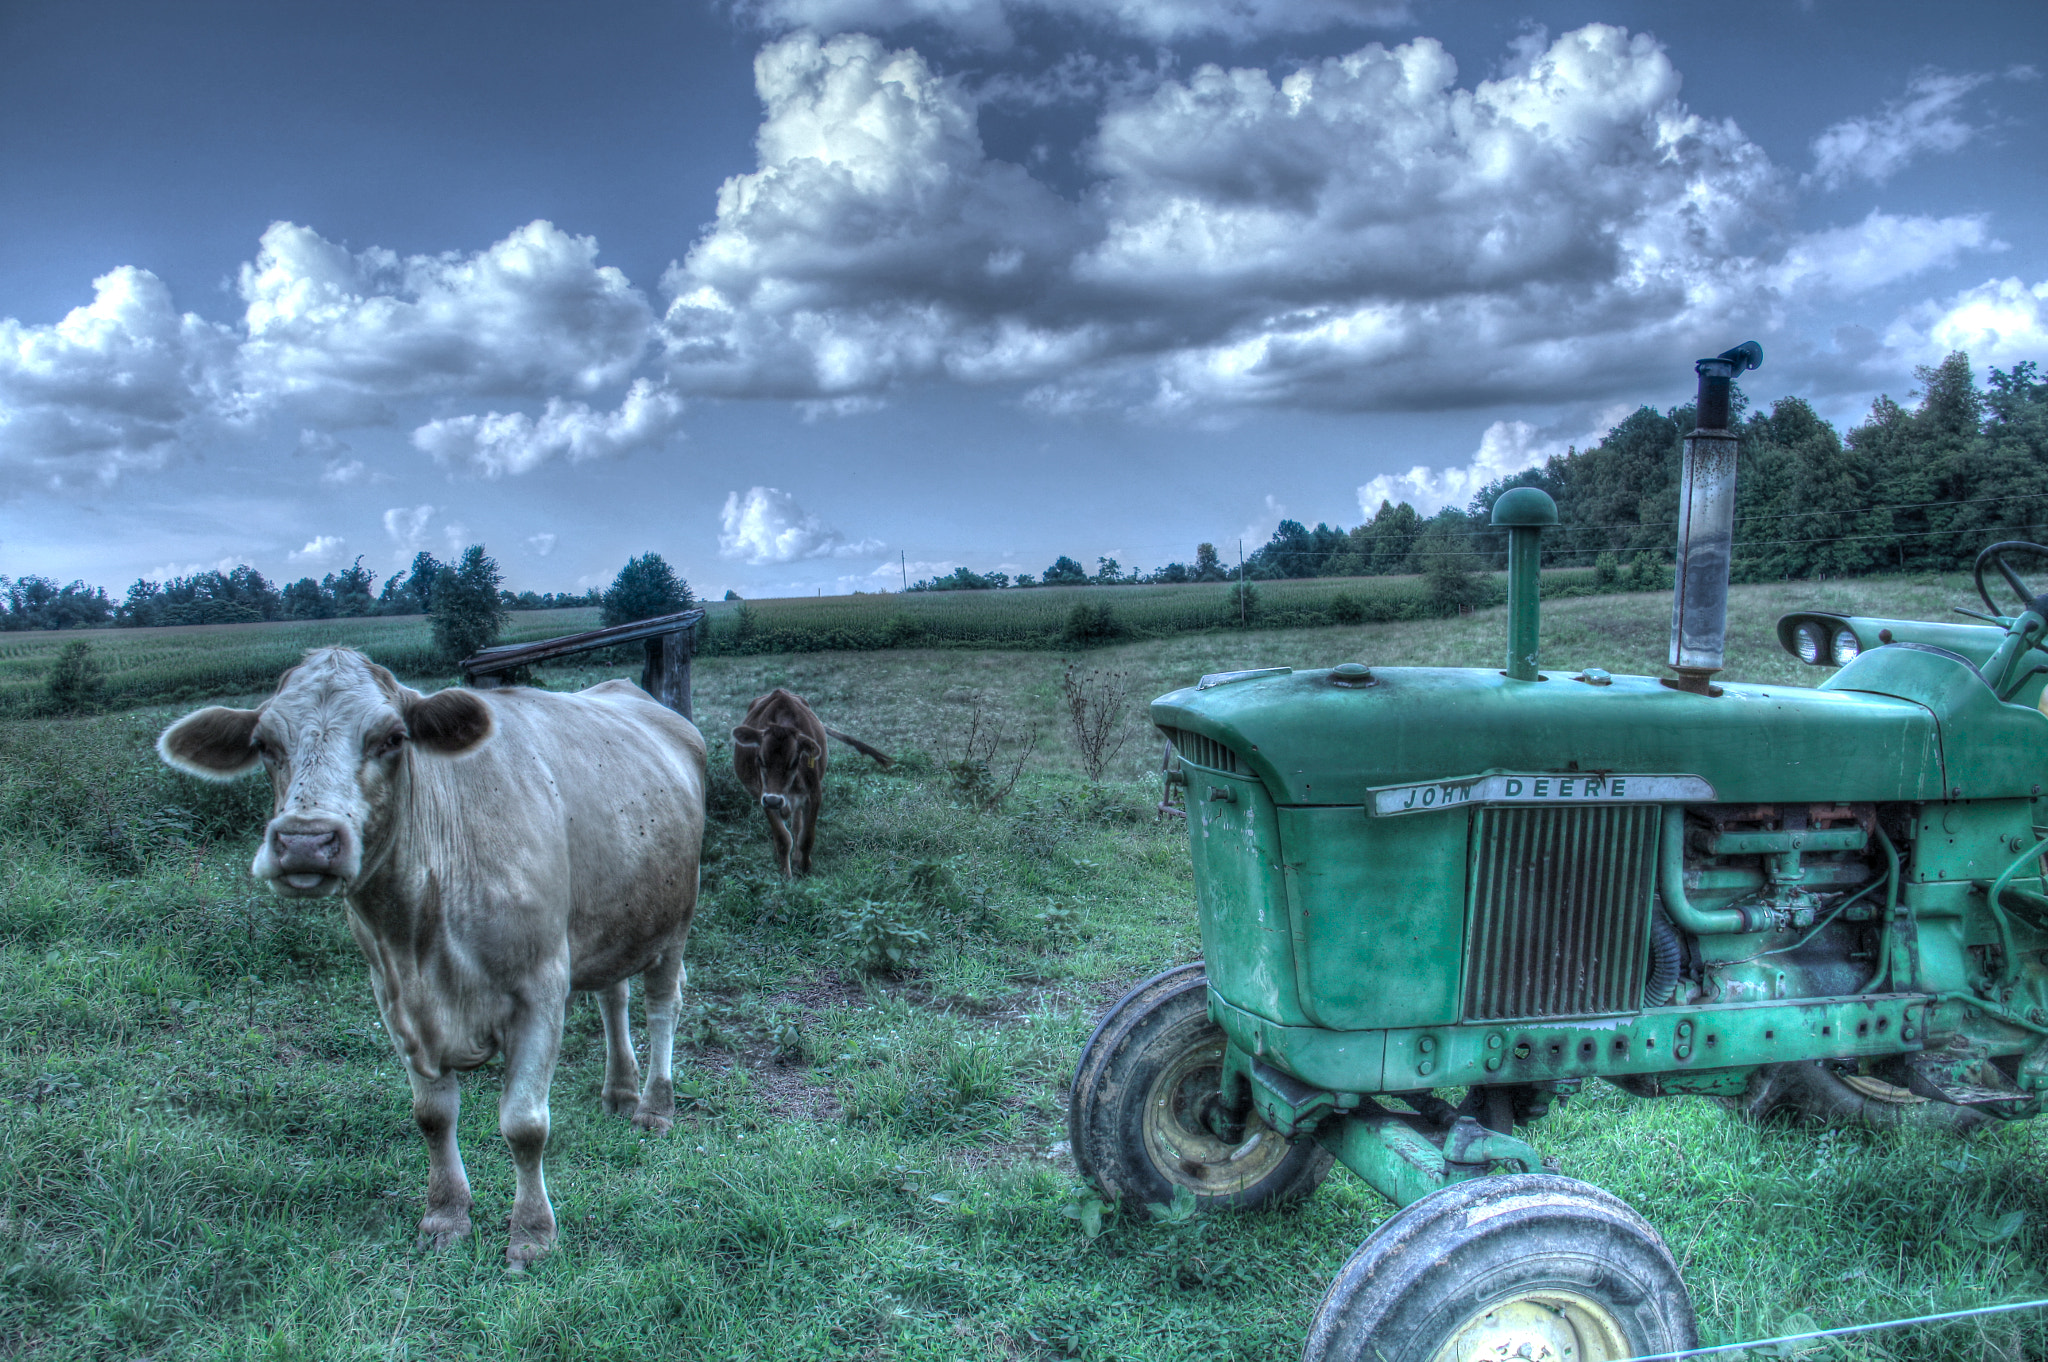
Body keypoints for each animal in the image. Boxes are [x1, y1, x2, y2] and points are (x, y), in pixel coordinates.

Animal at [155, 647, 706, 1269]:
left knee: (663, 1005)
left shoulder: (540, 986)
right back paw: (619, 1092)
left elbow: (524, 1124)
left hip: (676, 917)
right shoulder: (392, 993)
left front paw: (532, 1234)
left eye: (393, 738)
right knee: (615, 996)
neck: (423, 934)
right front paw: (445, 1217)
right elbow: (433, 1117)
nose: (306, 841)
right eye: (264, 744)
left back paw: (654, 1106)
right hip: (615, 916)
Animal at [731, 688, 892, 877]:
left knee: (797, 826)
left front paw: (805, 868)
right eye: (759, 759)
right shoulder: (764, 796)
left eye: (794, 761)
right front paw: (785, 875)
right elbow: (783, 839)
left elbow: (806, 837)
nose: (774, 800)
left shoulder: (813, 795)